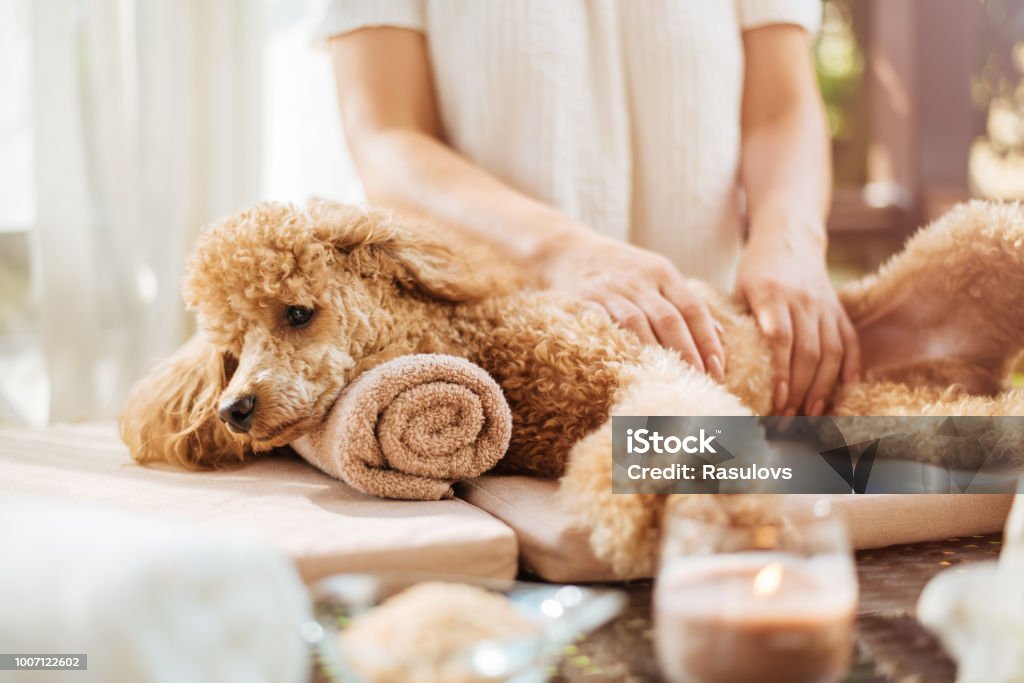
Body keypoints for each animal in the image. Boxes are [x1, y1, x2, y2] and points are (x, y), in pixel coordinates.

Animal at [121, 198, 1024, 577]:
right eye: (231, 347)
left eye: (298, 312)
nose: (236, 407)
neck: (485, 343)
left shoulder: (644, 364)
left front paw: (674, 498)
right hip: (882, 407)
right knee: (958, 416)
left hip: (988, 235)